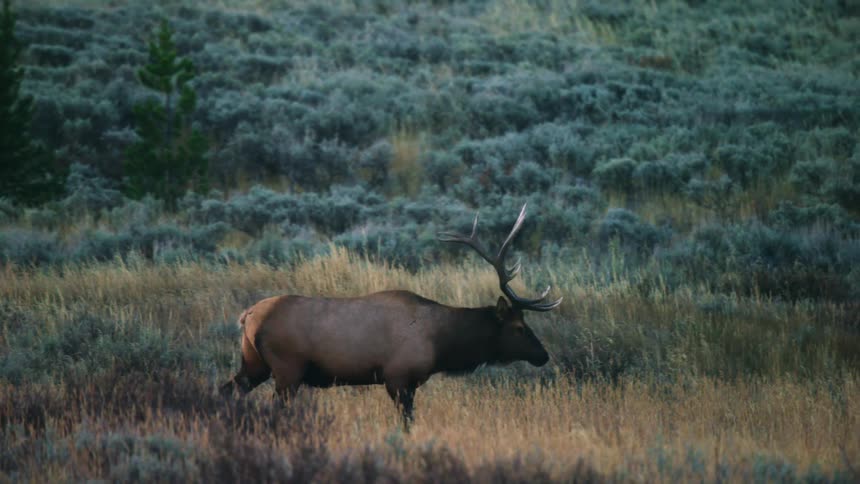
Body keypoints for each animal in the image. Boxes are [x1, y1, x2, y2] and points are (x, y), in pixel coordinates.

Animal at [220, 203, 562, 429]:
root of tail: (247, 315)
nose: (543, 355)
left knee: (228, 388)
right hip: (287, 369)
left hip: (254, 363)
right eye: (519, 327)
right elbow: (406, 422)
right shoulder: (397, 377)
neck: (441, 344)